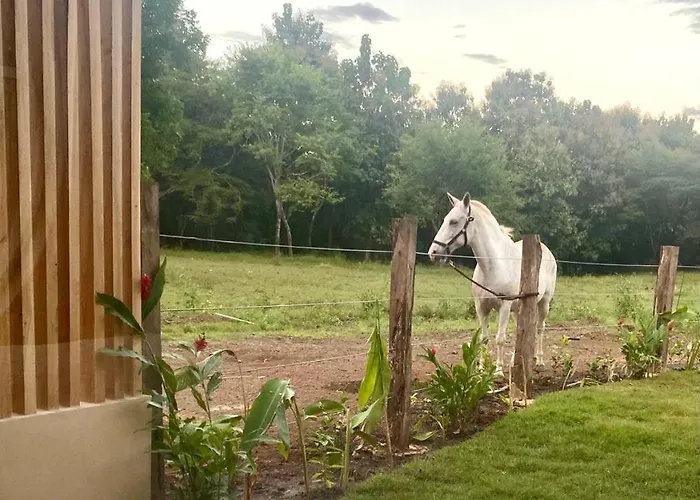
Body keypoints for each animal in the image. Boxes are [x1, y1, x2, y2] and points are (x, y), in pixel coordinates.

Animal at [427, 191, 557, 375]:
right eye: (446, 219)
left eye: (454, 221)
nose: (433, 253)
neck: (494, 266)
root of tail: (546, 250)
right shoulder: (481, 307)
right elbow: (484, 338)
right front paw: (482, 369)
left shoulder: (505, 306)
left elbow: (500, 338)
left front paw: (498, 370)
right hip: (519, 309)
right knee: (520, 331)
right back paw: (514, 361)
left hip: (544, 303)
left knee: (540, 328)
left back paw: (538, 361)